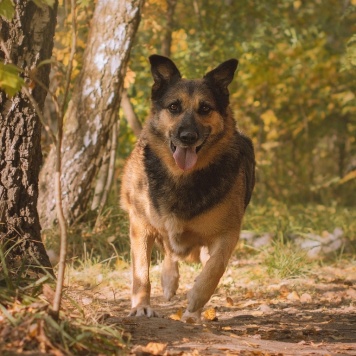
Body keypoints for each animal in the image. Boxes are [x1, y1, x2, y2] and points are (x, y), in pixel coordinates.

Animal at [121, 55, 254, 322]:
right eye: (174, 107)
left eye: (205, 108)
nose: (188, 137)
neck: (182, 177)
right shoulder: (140, 224)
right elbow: (141, 272)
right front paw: (141, 306)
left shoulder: (228, 233)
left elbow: (215, 268)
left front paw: (196, 300)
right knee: (168, 250)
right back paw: (169, 282)